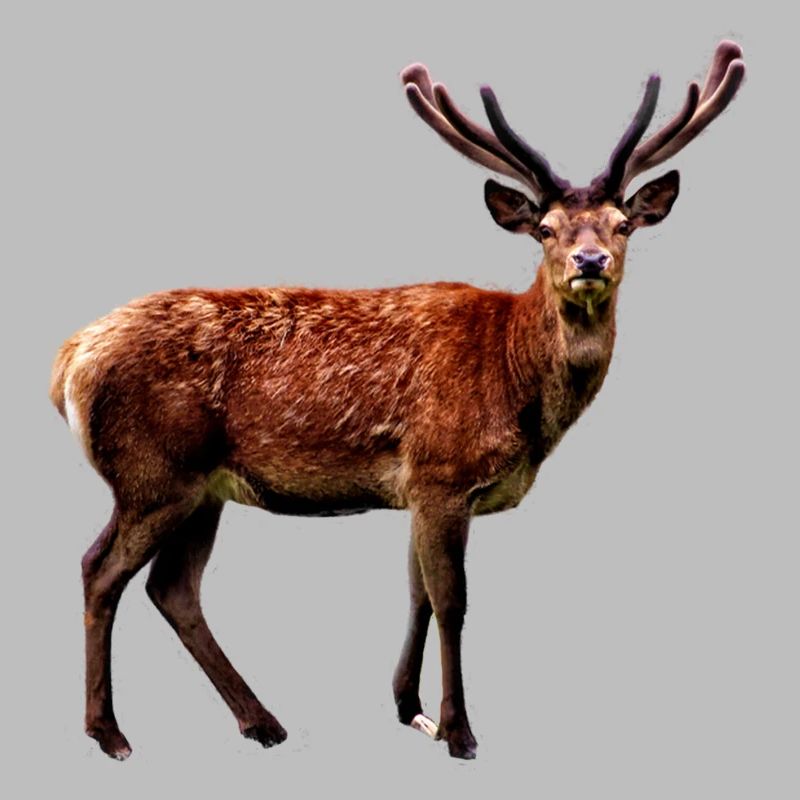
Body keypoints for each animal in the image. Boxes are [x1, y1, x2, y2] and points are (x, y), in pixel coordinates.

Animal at [49, 40, 745, 761]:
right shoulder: (442, 471)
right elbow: (452, 601)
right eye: (547, 229)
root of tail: (70, 360)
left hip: (202, 488)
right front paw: (460, 731)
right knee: (100, 569)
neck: (517, 390)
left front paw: (410, 708)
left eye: (622, 224)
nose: (590, 261)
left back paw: (261, 721)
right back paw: (109, 732)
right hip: (153, 473)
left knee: (174, 588)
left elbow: (417, 595)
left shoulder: (416, 488)